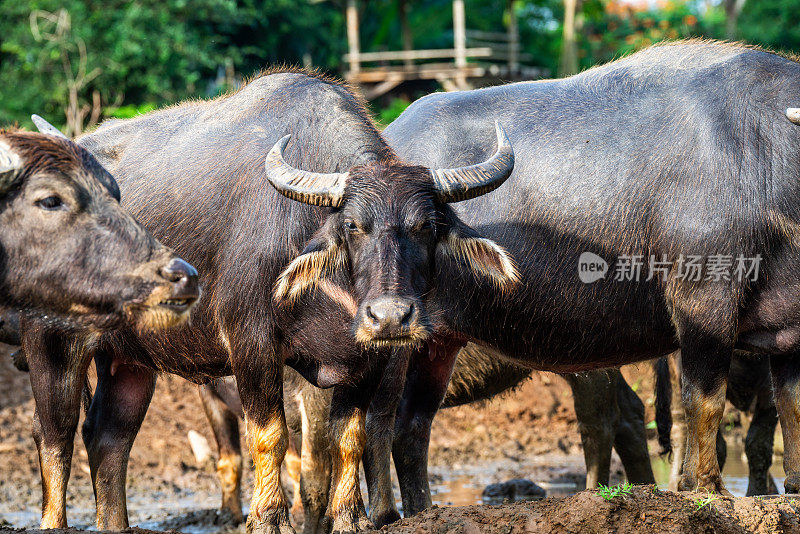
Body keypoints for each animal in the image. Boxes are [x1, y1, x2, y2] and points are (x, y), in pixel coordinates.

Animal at [26, 70, 520, 534]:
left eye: (425, 226)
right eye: (353, 226)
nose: (391, 317)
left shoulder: (368, 359)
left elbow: (349, 438)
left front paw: (351, 518)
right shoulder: (251, 343)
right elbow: (271, 437)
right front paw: (268, 518)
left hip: (129, 360)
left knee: (108, 439)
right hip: (51, 343)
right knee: (55, 435)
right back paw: (54, 519)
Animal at [376, 40, 800, 506]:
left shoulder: (788, 332)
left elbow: (792, 404)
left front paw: (795, 484)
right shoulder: (703, 301)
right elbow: (705, 401)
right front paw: (708, 487)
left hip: (439, 342)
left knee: (411, 427)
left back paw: (421, 510)